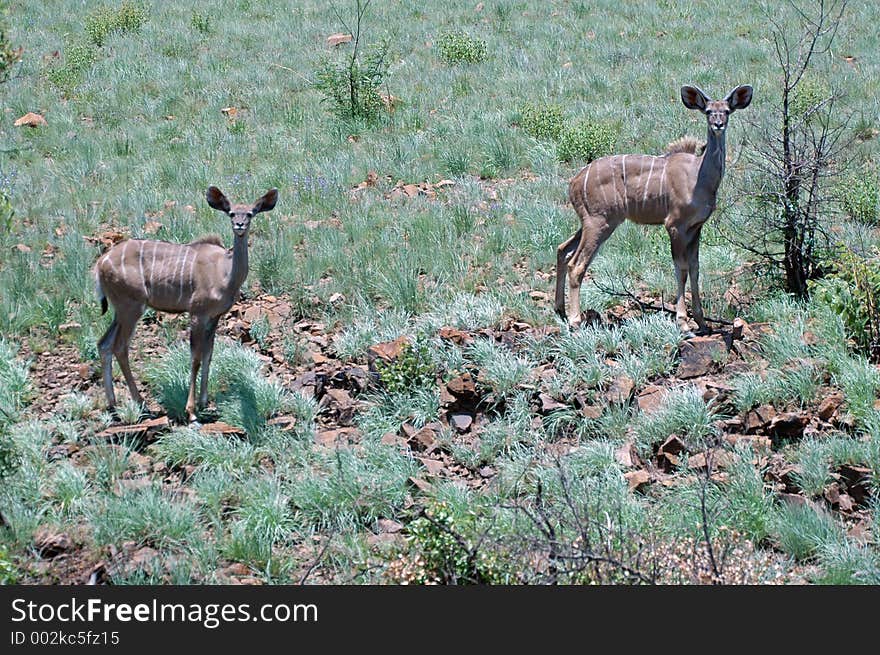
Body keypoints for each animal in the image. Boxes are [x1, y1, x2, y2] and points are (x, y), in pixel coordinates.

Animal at [95, 187, 278, 422]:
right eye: (231, 213)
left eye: (250, 213)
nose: (239, 225)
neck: (225, 273)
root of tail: (101, 263)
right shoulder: (197, 313)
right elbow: (195, 358)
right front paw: (191, 411)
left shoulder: (215, 316)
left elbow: (209, 355)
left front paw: (204, 402)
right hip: (131, 307)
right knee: (120, 347)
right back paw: (141, 403)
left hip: (120, 310)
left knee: (104, 343)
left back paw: (113, 405)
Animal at [556, 84, 748, 336]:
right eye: (707, 111)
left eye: (726, 110)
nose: (718, 124)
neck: (699, 176)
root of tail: (574, 183)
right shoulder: (674, 225)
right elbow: (681, 268)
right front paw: (683, 322)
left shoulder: (696, 227)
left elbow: (695, 268)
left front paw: (703, 323)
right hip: (599, 222)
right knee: (576, 264)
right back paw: (575, 321)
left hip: (591, 222)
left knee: (562, 250)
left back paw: (560, 310)